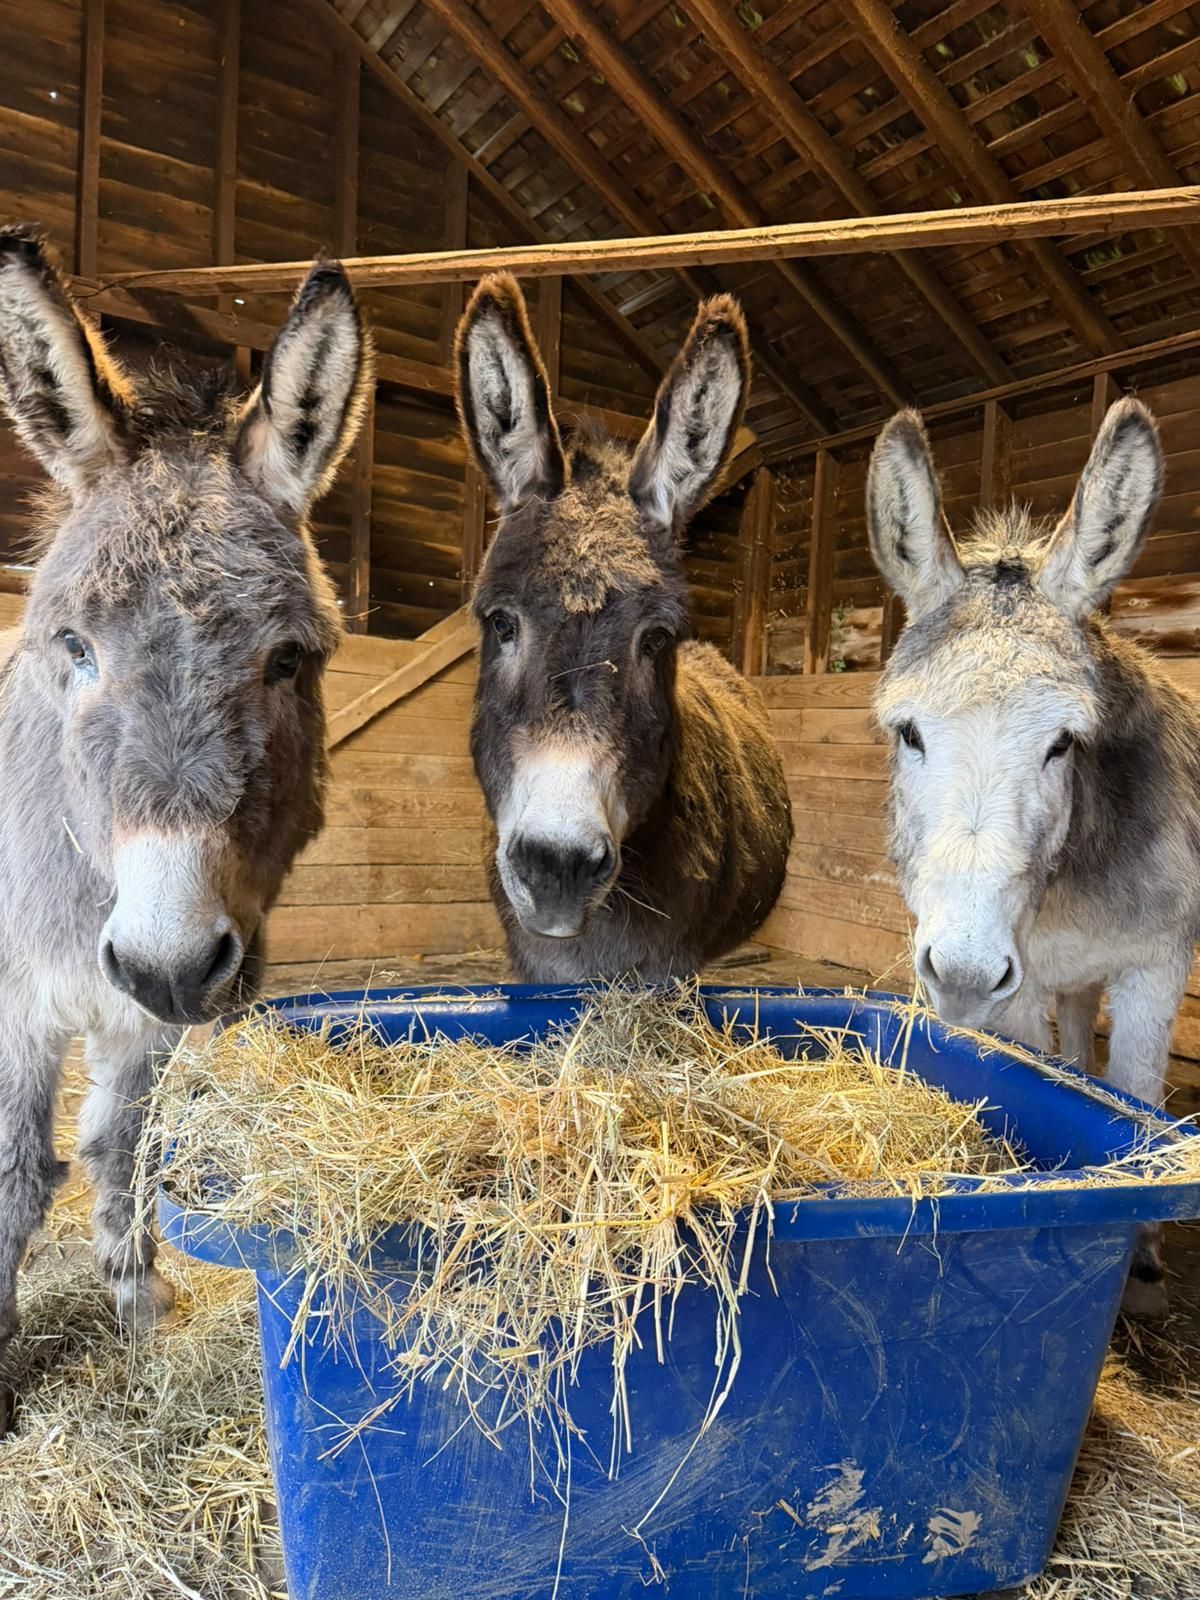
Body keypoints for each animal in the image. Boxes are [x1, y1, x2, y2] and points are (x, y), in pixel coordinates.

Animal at [0, 225, 369, 1414]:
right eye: (74, 647)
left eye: (288, 659)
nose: (164, 958)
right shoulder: (20, 1001)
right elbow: (18, 1176)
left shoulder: (152, 1013)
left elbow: (122, 1150)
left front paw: (140, 1317)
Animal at [866, 394, 1195, 1312]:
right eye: (908, 733)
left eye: (1063, 744)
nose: (963, 974)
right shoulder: (1027, 979)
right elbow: (1044, 1072)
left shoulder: (1156, 964)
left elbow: (1137, 1094)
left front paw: (1142, 1242)